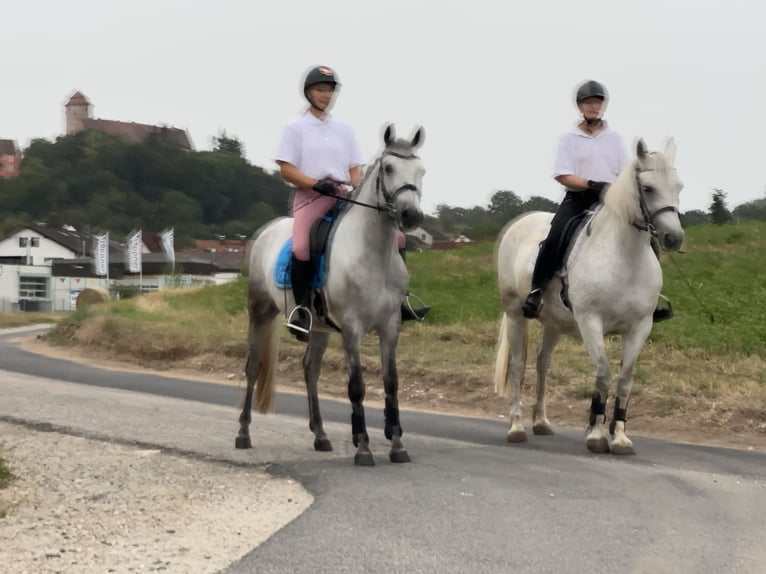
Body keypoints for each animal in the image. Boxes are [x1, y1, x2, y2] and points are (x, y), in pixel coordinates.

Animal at [236, 124, 426, 466]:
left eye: (421, 171)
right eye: (389, 168)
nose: (411, 215)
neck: (373, 254)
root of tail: (268, 229)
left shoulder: (390, 326)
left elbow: (391, 383)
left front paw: (397, 446)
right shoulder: (352, 329)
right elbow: (357, 387)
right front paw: (363, 447)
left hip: (319, 328)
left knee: (310, 370)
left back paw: (321, 435)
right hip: (260, 312)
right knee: (253, 367)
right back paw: (243, 433)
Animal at [496, 138, 688, 454]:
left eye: (679, 186)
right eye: (648, 188)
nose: (674, 238)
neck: (625, 257)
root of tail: (521, 222)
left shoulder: (640, 327)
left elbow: (624, 380)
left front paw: (619, 436)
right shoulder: (591, 322)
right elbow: (603, 374)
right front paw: (597, 433)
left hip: (554, 324)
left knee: (542, 363)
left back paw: (541, 421)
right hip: (515, 314)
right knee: (517, 365)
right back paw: (515, 427)